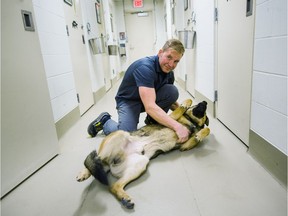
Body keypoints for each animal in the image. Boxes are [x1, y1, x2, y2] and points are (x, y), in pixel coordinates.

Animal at [76, 99, 209, 209]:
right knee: (95, 158)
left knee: (113, 185)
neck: (192, 122)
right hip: (121, 133)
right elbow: (181, 109)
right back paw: (84, 173)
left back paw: (124, 198)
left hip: (140, 164)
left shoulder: (184, 145)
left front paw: (199, 135)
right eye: (196, 105)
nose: (205, 102)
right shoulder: (172, 117)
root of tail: (112, 161)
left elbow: (205, 130)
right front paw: (186, 103)